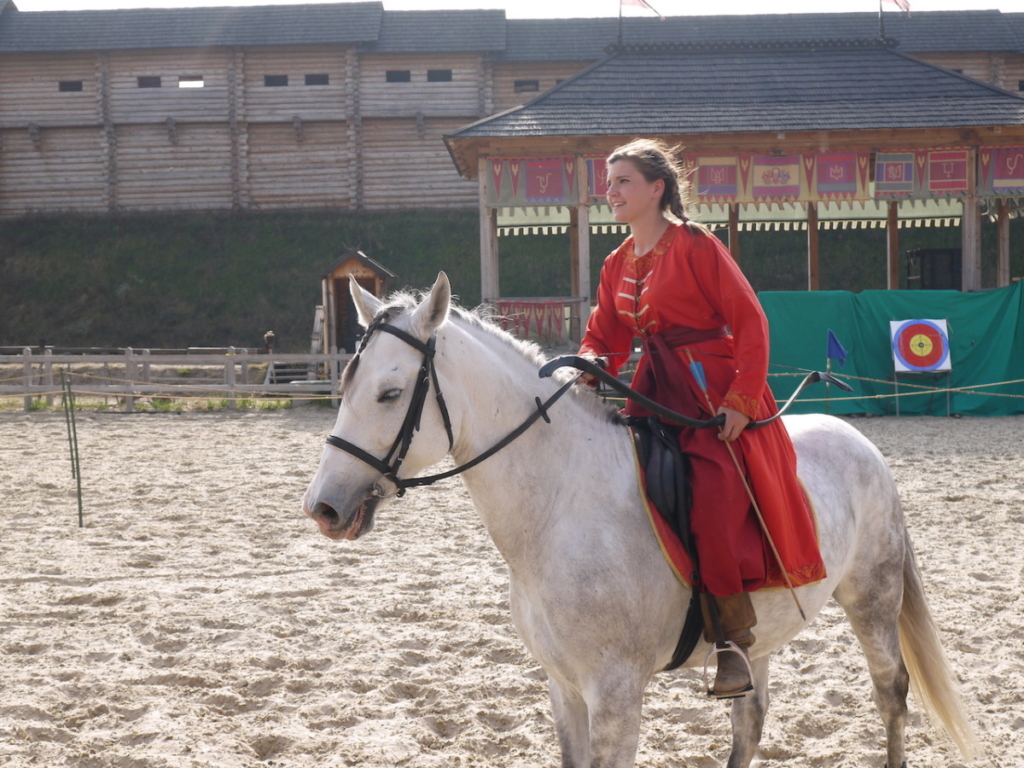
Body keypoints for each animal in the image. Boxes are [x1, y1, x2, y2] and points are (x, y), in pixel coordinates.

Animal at [302, 272, 977, 768]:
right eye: (345, 385)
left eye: (390, 393)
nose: (324, 507)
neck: (561, 507)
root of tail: (856, 437)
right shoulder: (564, 688)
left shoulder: (617, 694)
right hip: (759, 637)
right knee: (750, 720)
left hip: (872, 600)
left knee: (890, 696)